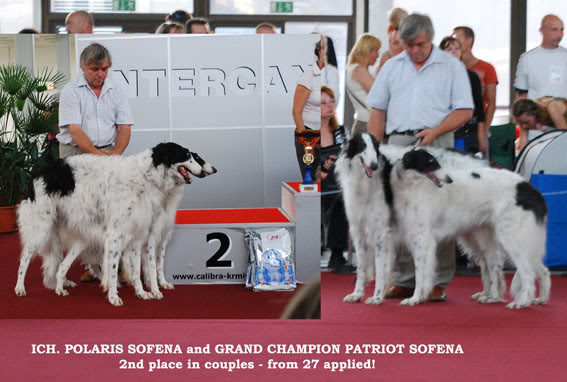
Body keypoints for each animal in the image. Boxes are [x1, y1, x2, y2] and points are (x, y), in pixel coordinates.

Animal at [15, 142, 216, 306]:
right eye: (187, 156)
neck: (145, 176)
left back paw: (62, 285)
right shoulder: (118, 236)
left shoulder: (139, 236)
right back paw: (20, 288)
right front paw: (114, 296)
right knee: (24, 259)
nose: (211, 170)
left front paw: (142, 292)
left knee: (58, 264)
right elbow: (117, 270)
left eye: (193, 156)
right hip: (40, 229)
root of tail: (36, 174)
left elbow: (138, 270)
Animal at [394, 148, 552, 308]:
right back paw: (538, 299)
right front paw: (420, 297)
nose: (449, 180)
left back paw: (522, 302)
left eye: (434, 161)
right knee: (541, 270)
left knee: (528, 273)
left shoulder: (423, 239)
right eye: (430, 161)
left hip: (512, 238)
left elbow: (420, 273)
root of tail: (531, 189)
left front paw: (415, 298)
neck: (416, 184)